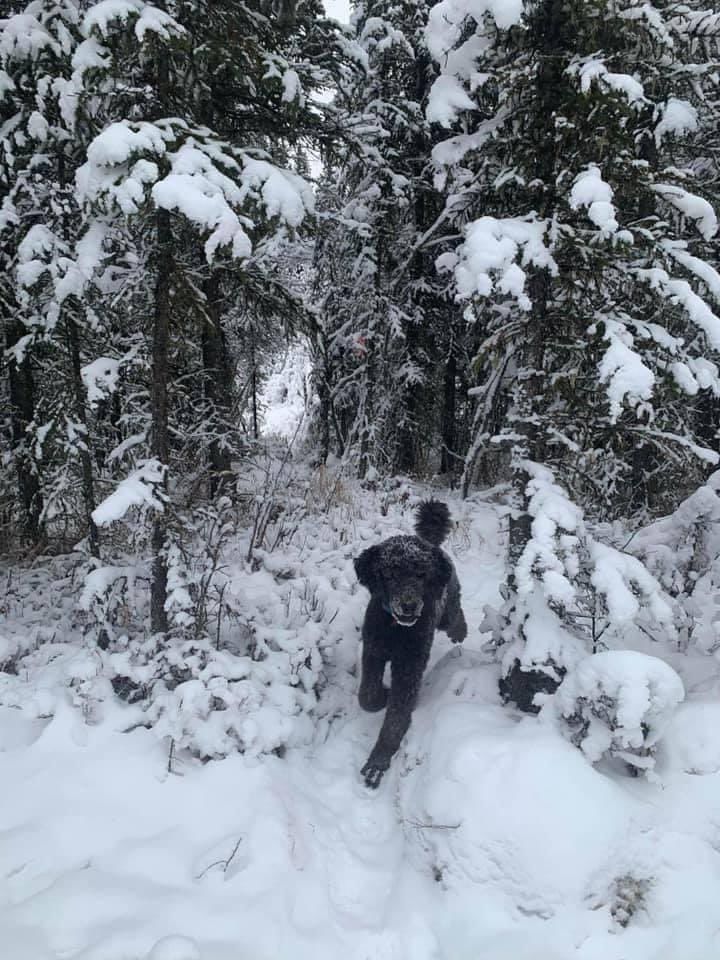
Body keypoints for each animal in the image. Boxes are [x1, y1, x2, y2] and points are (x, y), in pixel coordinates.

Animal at [352, 498, 466, 784]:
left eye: (421, 574)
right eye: (390, 574)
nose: (409, 606)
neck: (396, 630)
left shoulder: (409, 667)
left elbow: (396, 718)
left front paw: (378, 762)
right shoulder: (373, 651)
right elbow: (366, 696)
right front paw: (382, 695)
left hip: (447, 607)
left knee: (455, 615)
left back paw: (460, 632)